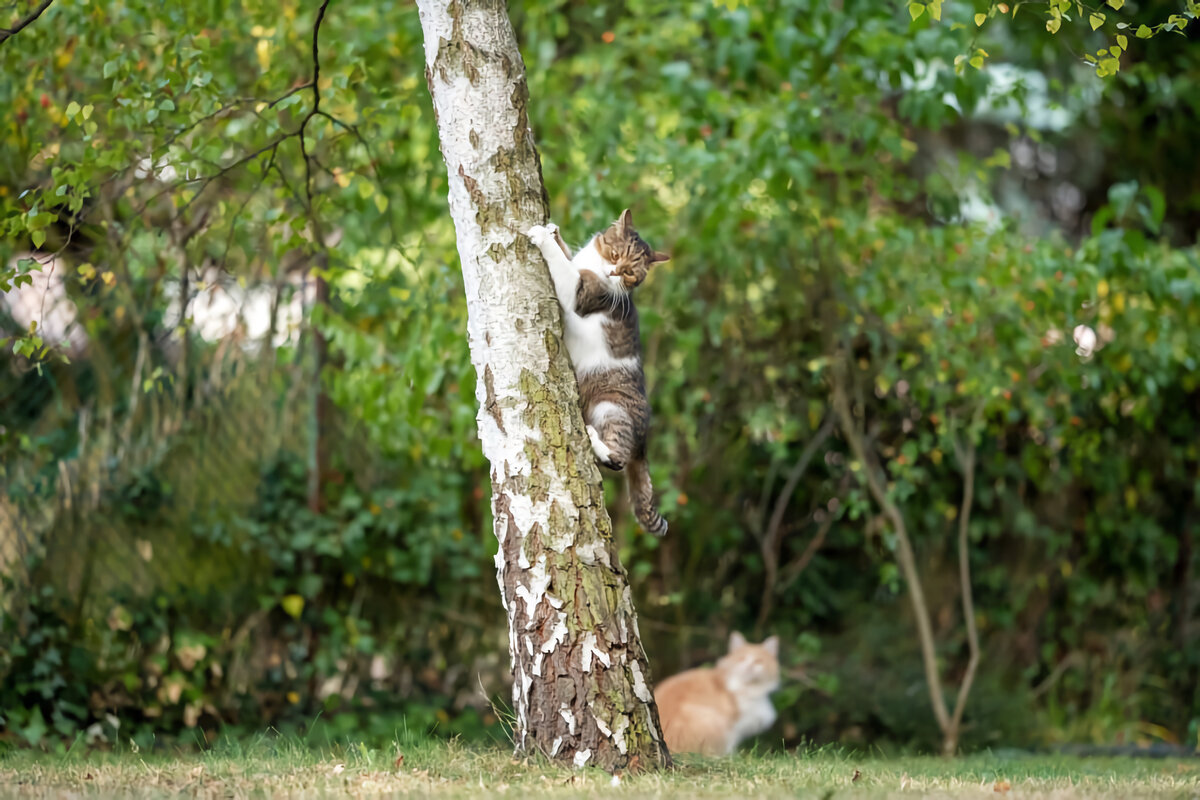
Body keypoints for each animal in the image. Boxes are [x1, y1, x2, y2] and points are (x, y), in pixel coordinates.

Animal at [528, 209, 672, 537]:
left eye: (630, 273)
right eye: (615, 254)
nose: (613, 273)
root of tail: (644, 442)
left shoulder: (580, 293)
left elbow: (562, 266)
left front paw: (543, 236)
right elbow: (567, 256)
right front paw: (554, 230)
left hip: (611, 408)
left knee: (617, 458)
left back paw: (594, 440)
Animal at [652, 633, 782, 758]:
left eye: (758, 661)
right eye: (741, 659)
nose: (748, 667)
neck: (749, 689)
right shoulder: (733, 727)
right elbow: (731, 746)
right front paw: (732, 758)